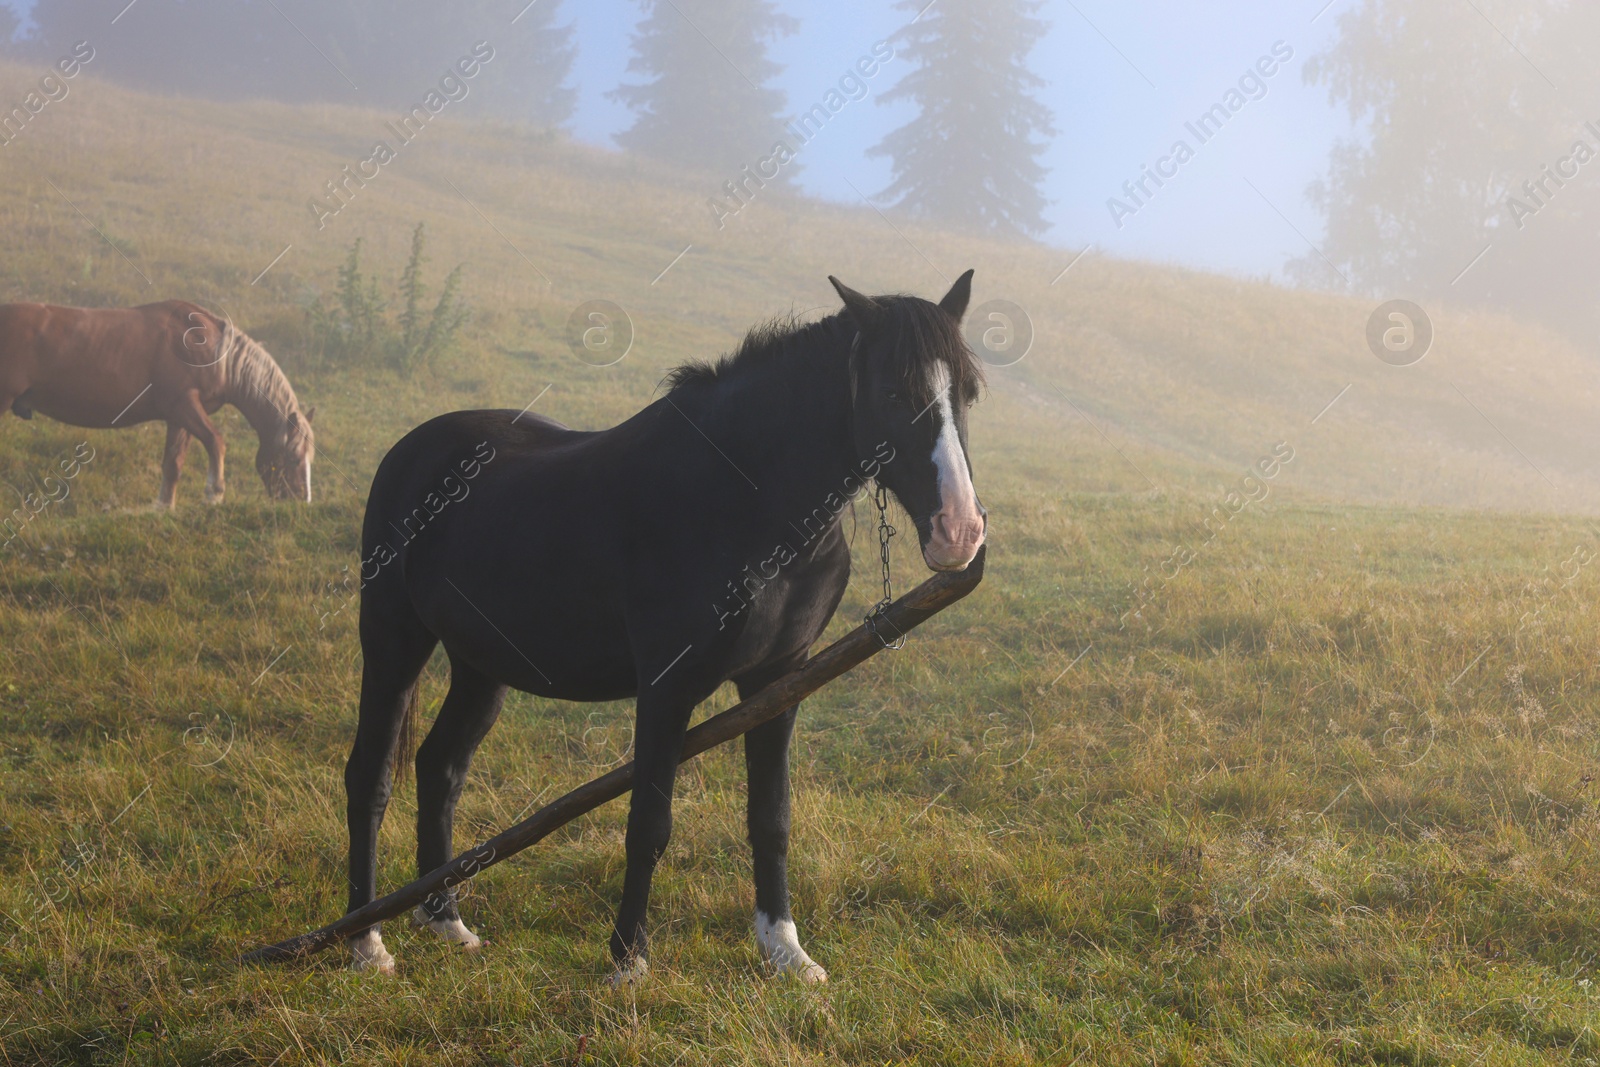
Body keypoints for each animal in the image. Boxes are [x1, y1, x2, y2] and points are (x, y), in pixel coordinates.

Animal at [0, 295, 313, 505]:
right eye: (294, 459)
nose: (300, 501)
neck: (214, 352)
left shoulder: (180, 417)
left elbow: (173, 464)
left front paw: (164, 507)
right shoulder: (185, 406)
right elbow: (216, 442)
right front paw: (213, 495)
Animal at [344, 273, 979, 985]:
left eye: (966, 392)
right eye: (894, 393)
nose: (959, 531)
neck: (745, 500)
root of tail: (412, 449)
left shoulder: (779, 681)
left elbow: (771, 817)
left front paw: (785, 949)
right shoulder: (666, 688)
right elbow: (649, 822)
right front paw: (628, 959)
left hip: (481, 666)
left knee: (441, 767)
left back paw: (446, 920)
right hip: (393, 640)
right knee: (370, 776)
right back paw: (366, 941)